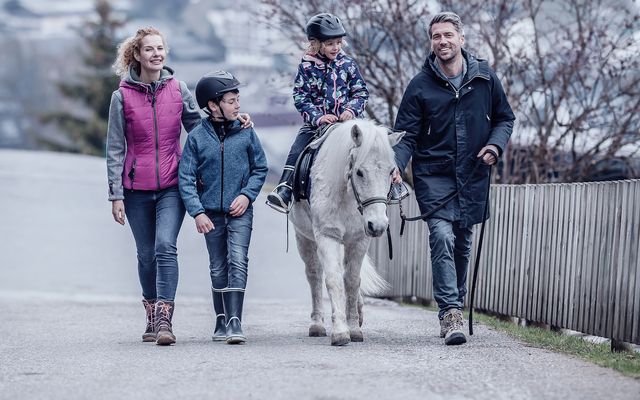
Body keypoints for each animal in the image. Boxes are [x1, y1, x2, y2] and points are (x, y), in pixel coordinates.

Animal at [292, 118, 404, 344]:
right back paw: (317, 324)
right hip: (305, 239)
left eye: (391, 171)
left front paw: (354, 328)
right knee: (314, 276)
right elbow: (333, 280)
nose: (378, 225)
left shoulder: (359, 240)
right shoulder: (327, 236)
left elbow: (352, 281)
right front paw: (340, 331)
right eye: (359, 172)